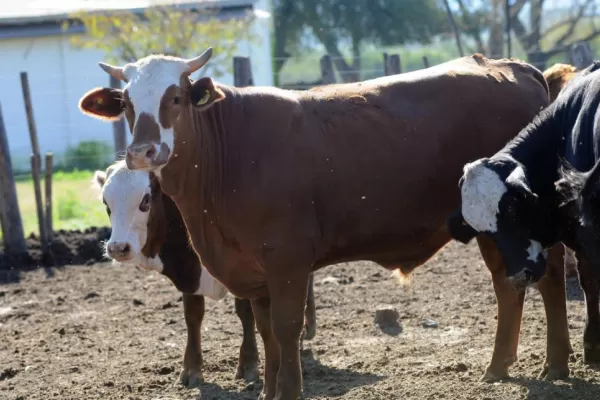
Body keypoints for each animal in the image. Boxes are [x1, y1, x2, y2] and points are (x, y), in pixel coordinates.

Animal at [92, 160, 318, 388]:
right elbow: (193, 317)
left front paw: (248, 364)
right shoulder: (189, 274)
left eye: (145, 199)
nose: (118, 248)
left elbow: (245, 313)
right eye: (105, 202)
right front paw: (191, 369)